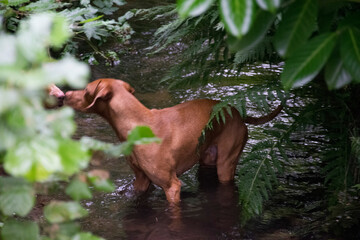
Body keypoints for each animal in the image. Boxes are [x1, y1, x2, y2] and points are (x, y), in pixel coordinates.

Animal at [64, 79, 284, 204]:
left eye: (85, 90)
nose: (65, 94)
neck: (137, 122)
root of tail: (238, 112)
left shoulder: (172, 186)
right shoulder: (141, 181)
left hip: (226, 164)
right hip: (207, 159)